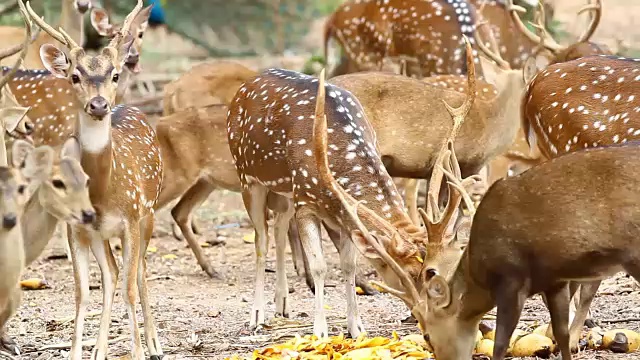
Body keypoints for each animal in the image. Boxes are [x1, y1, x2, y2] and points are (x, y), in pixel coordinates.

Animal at [24, 0, 165, 358]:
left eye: (114, 74)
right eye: (75, 75)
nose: (99, 104)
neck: (105, 189)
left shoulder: (131, 218)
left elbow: (130, 287)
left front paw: (139, 351)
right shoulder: (76, 228)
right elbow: (83, 292)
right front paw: (78, 352)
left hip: (150, 212)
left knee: (140, 273)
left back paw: (155, 344)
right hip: (101, 234)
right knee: (112, 274)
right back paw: (100, 350)